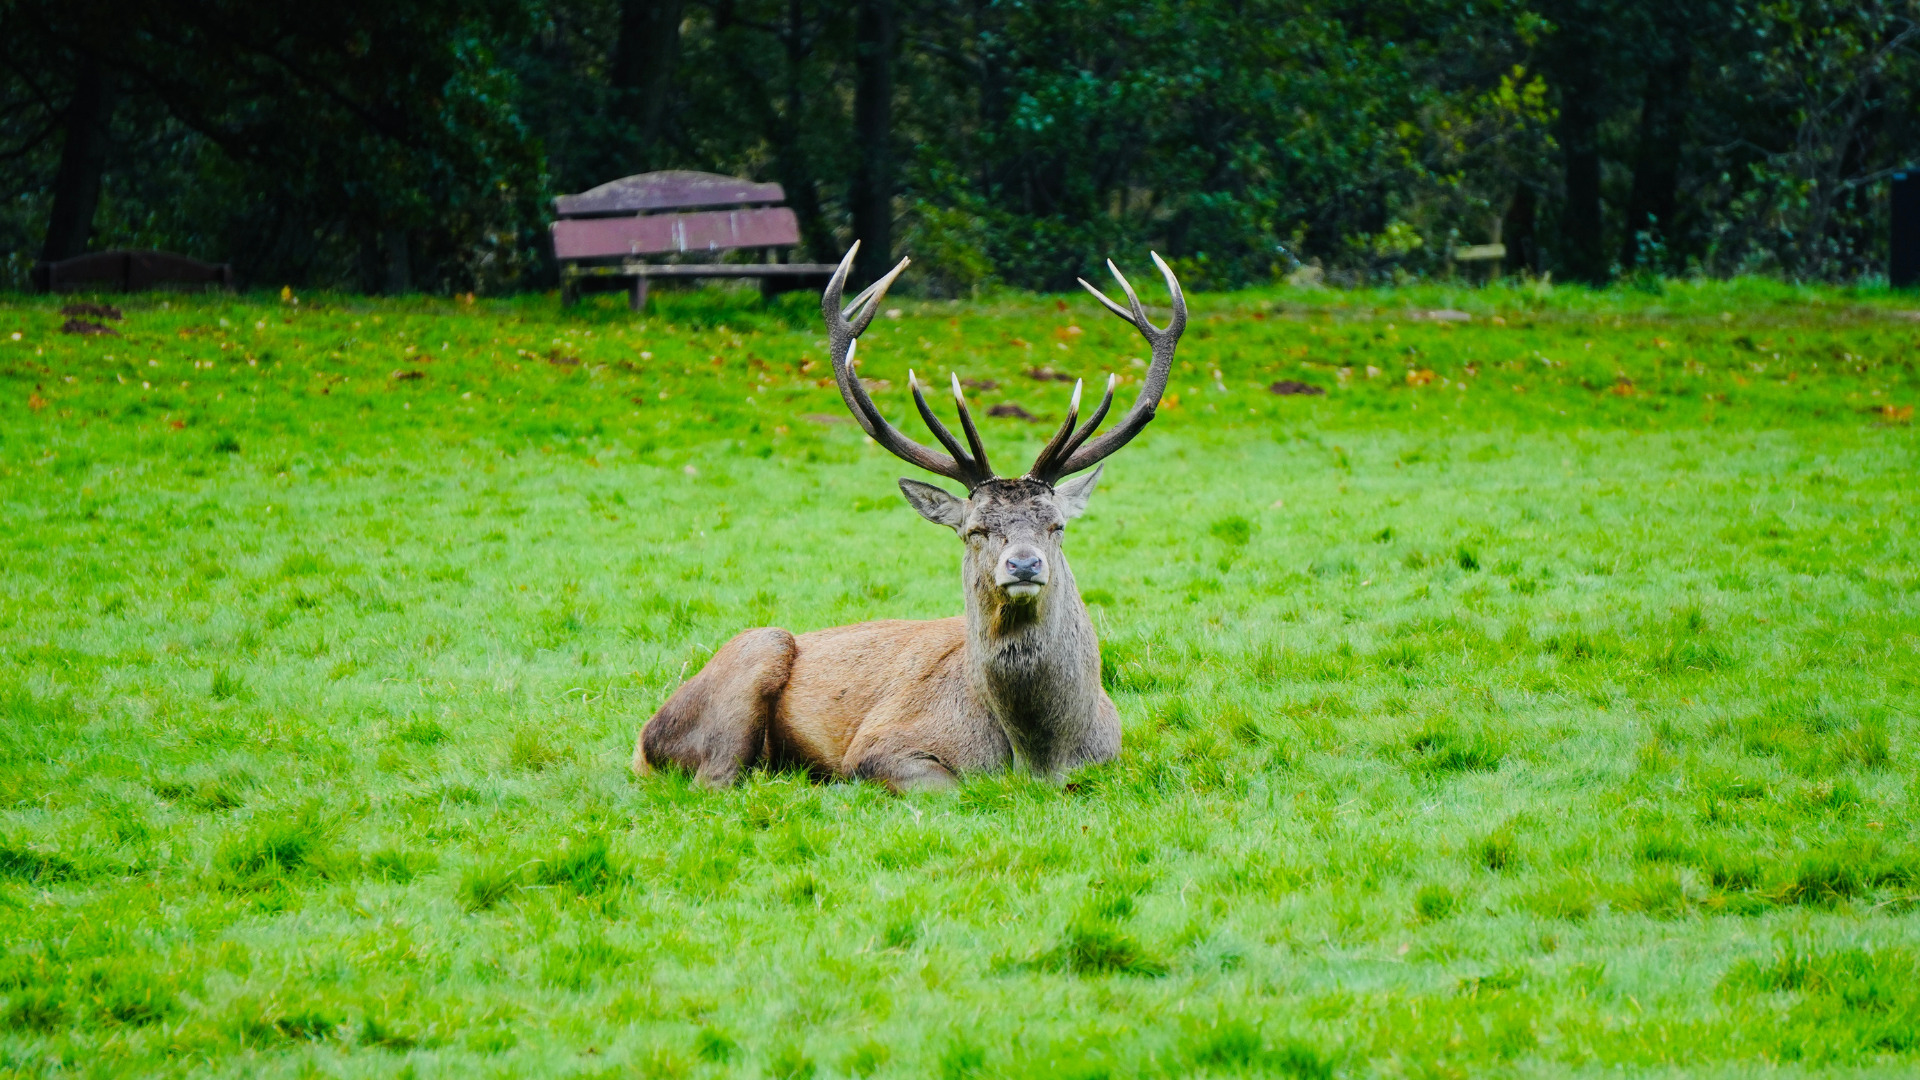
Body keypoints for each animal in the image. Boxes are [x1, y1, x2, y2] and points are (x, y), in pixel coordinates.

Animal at [632, 244, 1187, 791]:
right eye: (974, 530)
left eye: (1057, 525)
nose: (1024, 565)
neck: (1041, 758)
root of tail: (642, 741)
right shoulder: (880, 745)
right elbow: (951, 785)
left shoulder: (1113, 759)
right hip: (755, 653)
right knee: (716, 779)